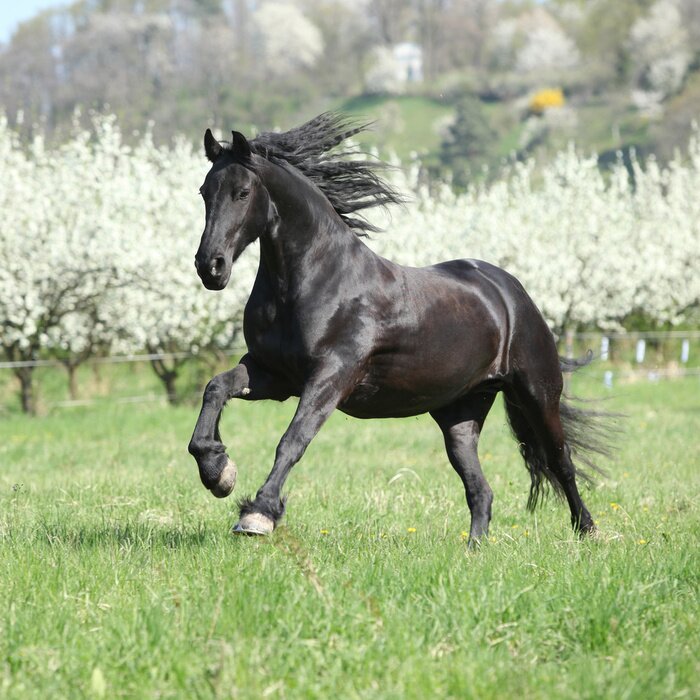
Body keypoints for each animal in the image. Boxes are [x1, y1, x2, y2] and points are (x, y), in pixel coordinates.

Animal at [188, 113, 609, 541]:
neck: (316, 279)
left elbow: (293, 440)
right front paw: (219, 472)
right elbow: (215, 389)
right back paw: (474, 549)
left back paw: (587, 531)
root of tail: (511, 291)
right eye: (205, 192)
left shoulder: (330, 377)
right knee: (481, 490)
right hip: (459, 414)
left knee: (560, 461)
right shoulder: (273, 373)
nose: (210, 266)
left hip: (537, 393)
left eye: (242, 192)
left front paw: (258, 514)